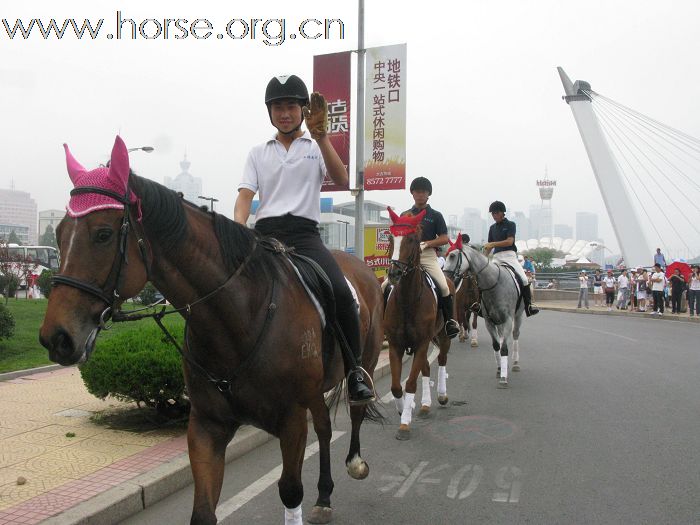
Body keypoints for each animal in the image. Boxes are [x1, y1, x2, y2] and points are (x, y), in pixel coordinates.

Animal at [39, 136, 386, 524]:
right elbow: (203, 511)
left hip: (365, 362)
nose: (56, 337)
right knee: (325, 427)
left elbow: (290, 491)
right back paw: (324, 495)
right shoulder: (206, 426)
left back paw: (355, 461)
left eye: (103, 234)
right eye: (59, 234)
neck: (238, 317)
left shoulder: (292, 420)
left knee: (354, 411)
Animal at [382, 207, 454, 440]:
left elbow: (411, 383)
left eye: (412, 239)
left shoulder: (422, 343)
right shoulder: (396, 345)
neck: (407, 299)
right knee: (426, 368)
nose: (394, 273)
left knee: (441, 360)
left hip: (441, 336)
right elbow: (397, 386)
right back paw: (424, 405)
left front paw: (404, 424)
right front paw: (403, 408)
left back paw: (441, 395)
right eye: (390, 239)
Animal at [442, 244, 524, 386]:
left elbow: (504, 348)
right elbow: (497, 345)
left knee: (515, 335)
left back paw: (515, 363)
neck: (494, 284)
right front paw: (500, 369)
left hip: (518, 316)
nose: (445, 276)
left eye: (452, 256)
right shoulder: (489, 321)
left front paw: (503, 378)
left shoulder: (507, 320)